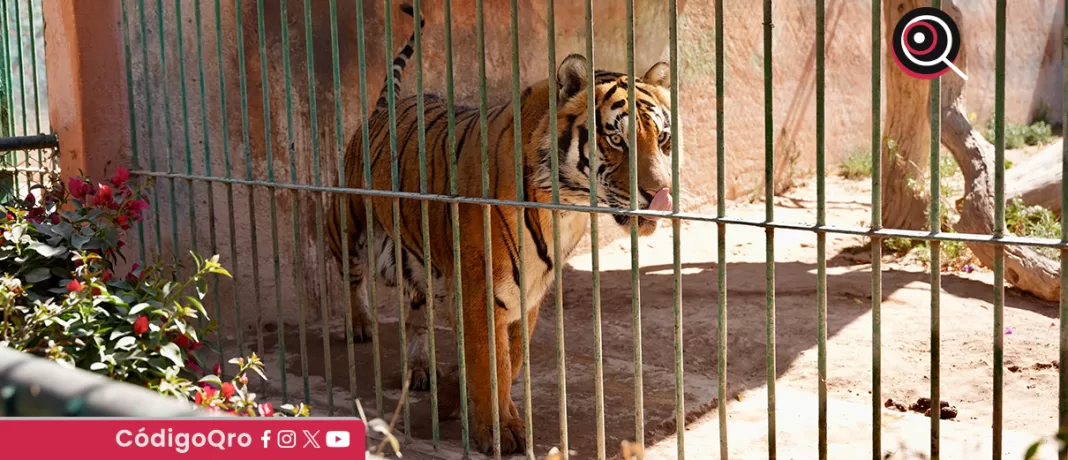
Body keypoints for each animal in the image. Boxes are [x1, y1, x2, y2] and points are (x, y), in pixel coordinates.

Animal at [320, 2, 679, 454]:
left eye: (663, 139)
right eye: (617, 140)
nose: (660, 195)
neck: (567, 207)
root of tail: (384, 108)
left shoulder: (529, 290)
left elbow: (510, 358)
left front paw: (457, 398)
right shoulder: (481, 287)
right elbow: (491, 362)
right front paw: (498, 429)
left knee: (417, 312)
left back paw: (420, 368)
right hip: (347, 224)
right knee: (351, 277)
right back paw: (360, 325)